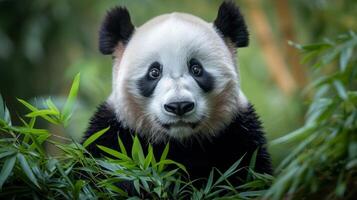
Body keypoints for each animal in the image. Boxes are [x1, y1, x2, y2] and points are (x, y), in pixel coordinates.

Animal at [83, 0, 272, 183]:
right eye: (154, 72)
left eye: (196, 69)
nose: (179, 106)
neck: (180, 143)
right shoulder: (113, 138)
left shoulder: (239, 136)